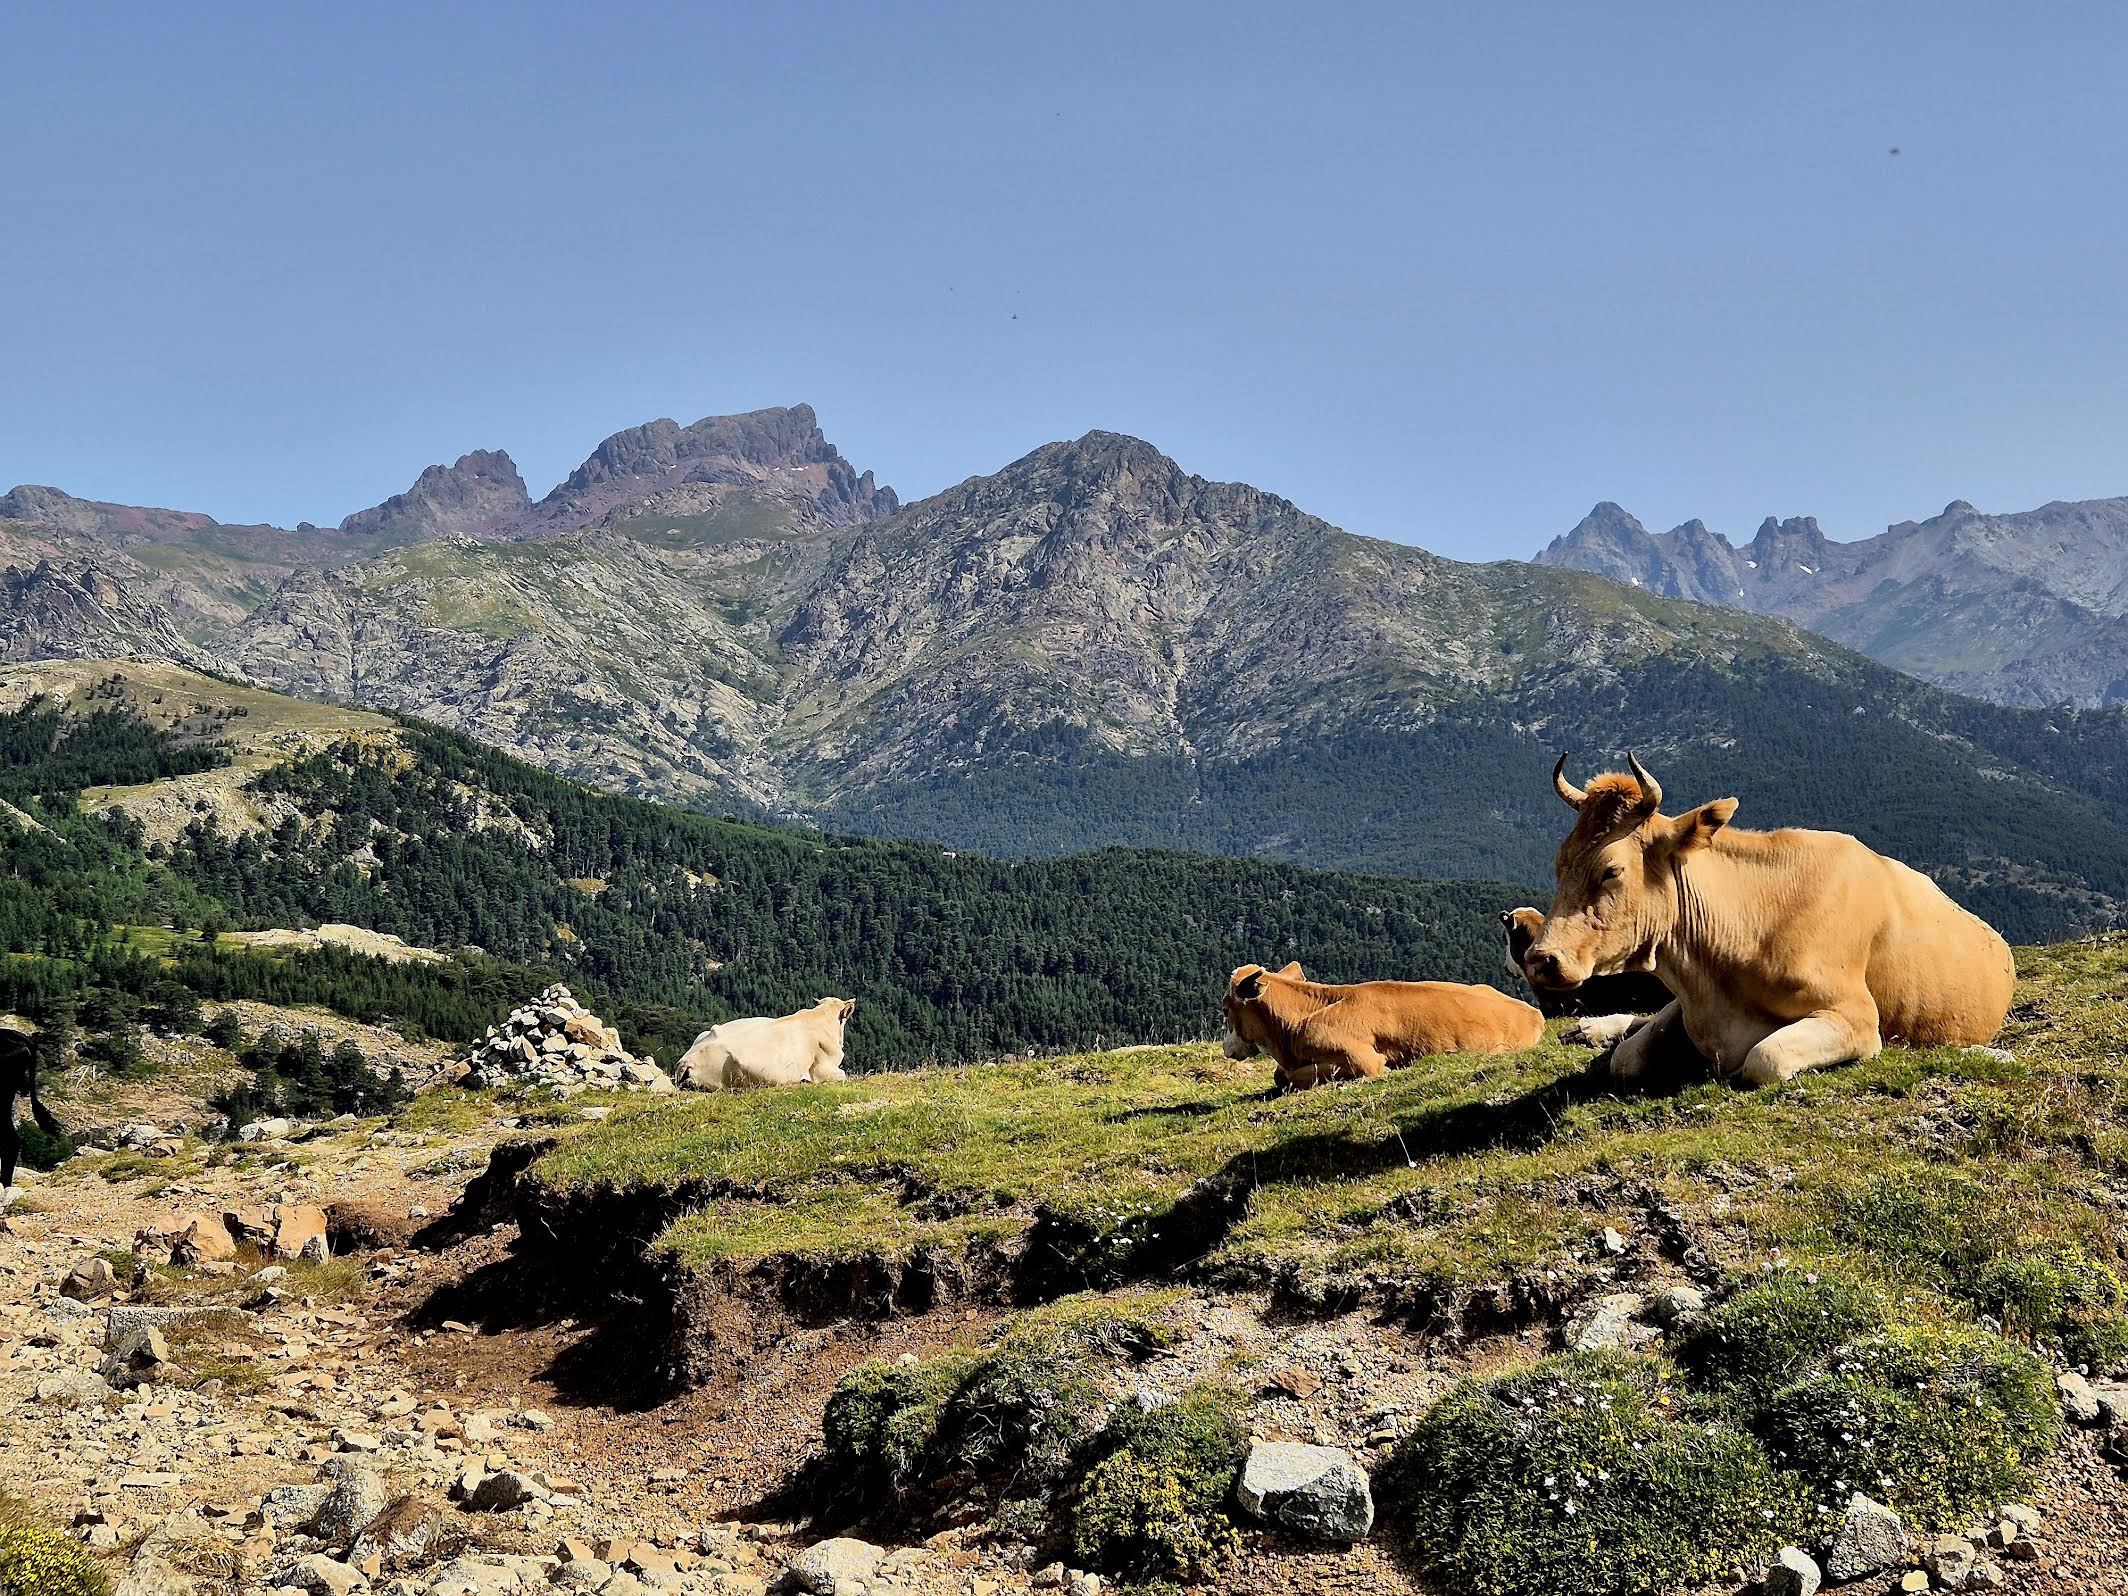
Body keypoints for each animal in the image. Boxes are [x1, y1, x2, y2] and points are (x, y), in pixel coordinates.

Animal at [1234, 961, 1549, 1089]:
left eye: (1226, 1009)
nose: (1229, 1049)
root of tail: (1533, 1012)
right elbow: (1280, 1074)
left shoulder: (1362, 1059)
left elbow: (1288, 1077)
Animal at [1532, 757, 2008, 1098]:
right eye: (1558, 863)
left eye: (1611, 870)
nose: (1540, 959)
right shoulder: (1688, 1008)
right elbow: (1626, 1059)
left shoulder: (1857, 1017)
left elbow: (1765, 1058)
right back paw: (1593, 1027)